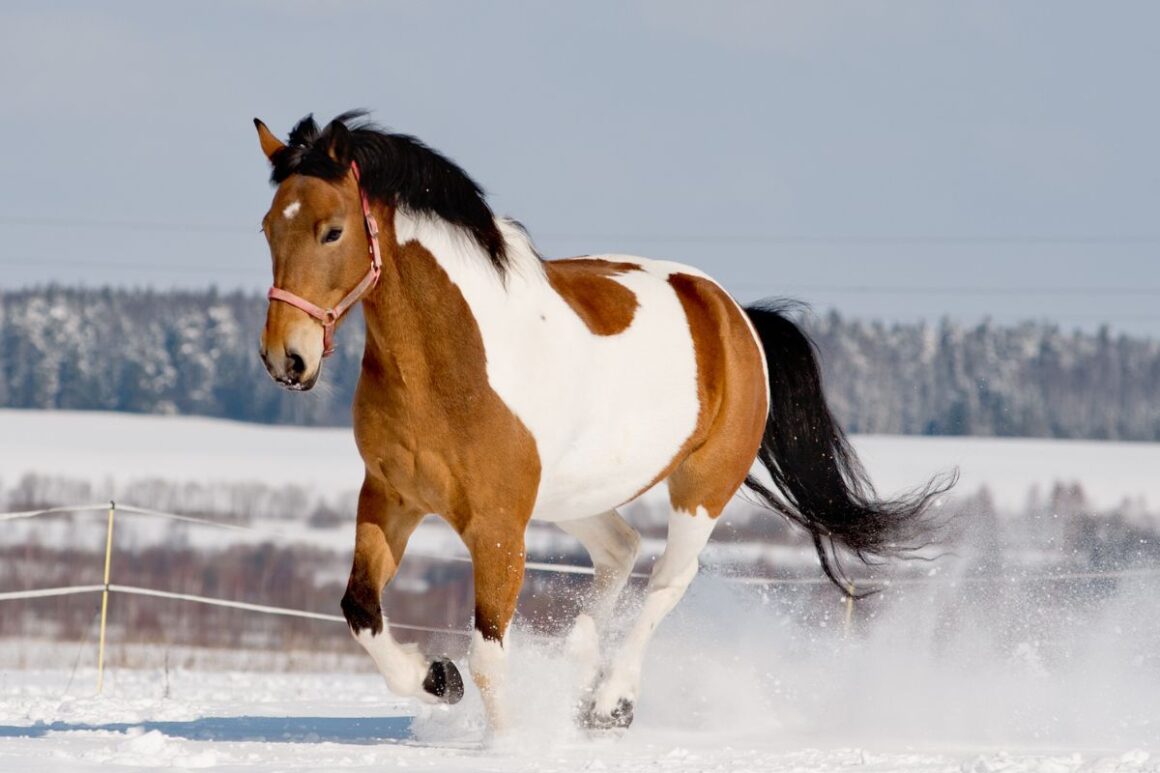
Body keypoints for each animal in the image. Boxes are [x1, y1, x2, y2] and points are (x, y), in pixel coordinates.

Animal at [254, 111, 951, 733]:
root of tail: (735, 315)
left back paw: (611, 700)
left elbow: (488, 656)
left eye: (332, 231)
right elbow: (361, 612)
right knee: (621, 550)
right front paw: (436, 677)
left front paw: (508, 741)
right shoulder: (390, 497)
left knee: (666, 579)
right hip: (572, 495)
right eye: (267, 228)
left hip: (701, 489)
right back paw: (580, 668)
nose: (286, 358)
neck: (451, 363)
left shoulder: (498, 526)